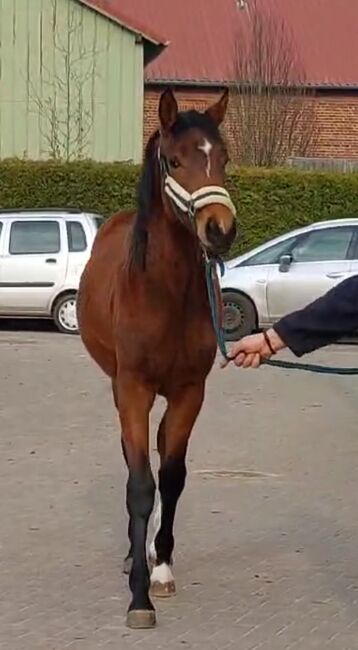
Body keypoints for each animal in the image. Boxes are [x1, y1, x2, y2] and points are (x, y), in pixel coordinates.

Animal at [77, 88, 236, 624]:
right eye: (175, 159)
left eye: (223, 159)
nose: (219, 230)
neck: (167, 293)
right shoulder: (134, 388)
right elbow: (141, 484)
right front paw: (138, 595)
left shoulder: (190, 391)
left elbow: (172, 477)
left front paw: (161, 568)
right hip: (120, 387)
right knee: (134, 462)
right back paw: (133, 553)